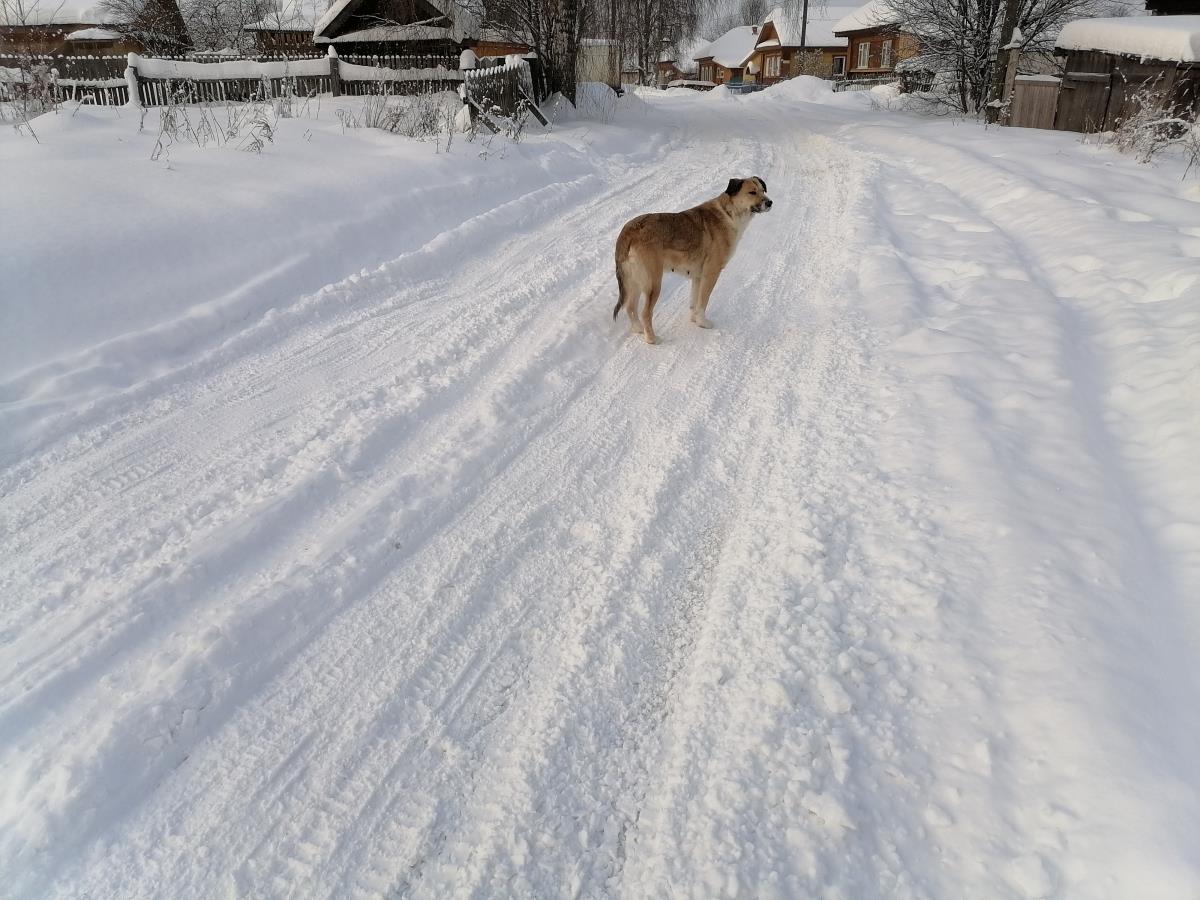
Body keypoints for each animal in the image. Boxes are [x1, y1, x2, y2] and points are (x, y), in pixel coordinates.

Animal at [614, 177, 772, 345]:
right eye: (752, 192)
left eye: (762, 190)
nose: (770, 202)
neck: (729, 213)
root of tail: (628, 231)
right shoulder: (711, 273)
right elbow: (703, 302)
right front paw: (703, 323)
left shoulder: (697, 277)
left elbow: (694, 302)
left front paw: (695, 320)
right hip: (653, 283)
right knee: (645, 313)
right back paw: (652, 339)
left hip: (634, 281)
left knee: (630, 307)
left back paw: (638, 329)